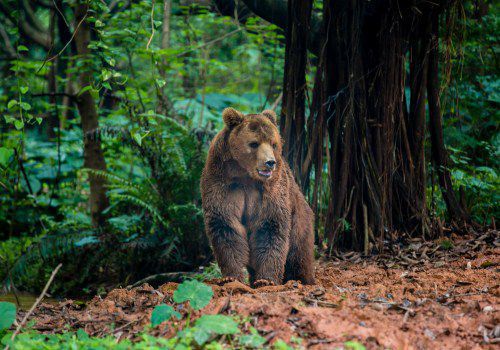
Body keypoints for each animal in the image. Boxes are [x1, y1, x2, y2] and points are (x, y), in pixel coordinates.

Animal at [200, 107, 314, 288]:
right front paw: (231, 277)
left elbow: (270, 227)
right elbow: (226, 225)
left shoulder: (271, 189)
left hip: (300, 221)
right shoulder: (222, 182)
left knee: (299, 255)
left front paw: (266, 279)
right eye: (254, 143)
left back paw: (300, 279)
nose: (270, 162)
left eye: (274, 143)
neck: (245, 175)